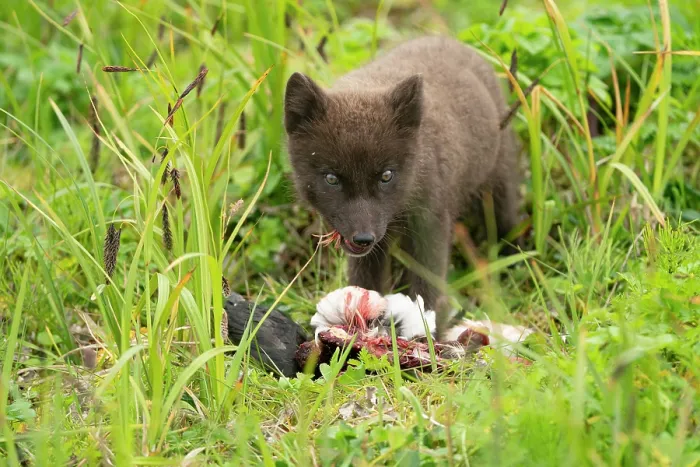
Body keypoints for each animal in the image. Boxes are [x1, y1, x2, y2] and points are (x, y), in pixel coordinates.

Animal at [283, 36, 520, 336]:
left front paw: (427, 333)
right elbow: (366, 281)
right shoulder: (372, 246)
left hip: (499, 187)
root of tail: (451, 40)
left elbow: (428, 284)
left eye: (386, 176)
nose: (363, 238)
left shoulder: (431, 221)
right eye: (331, 179)